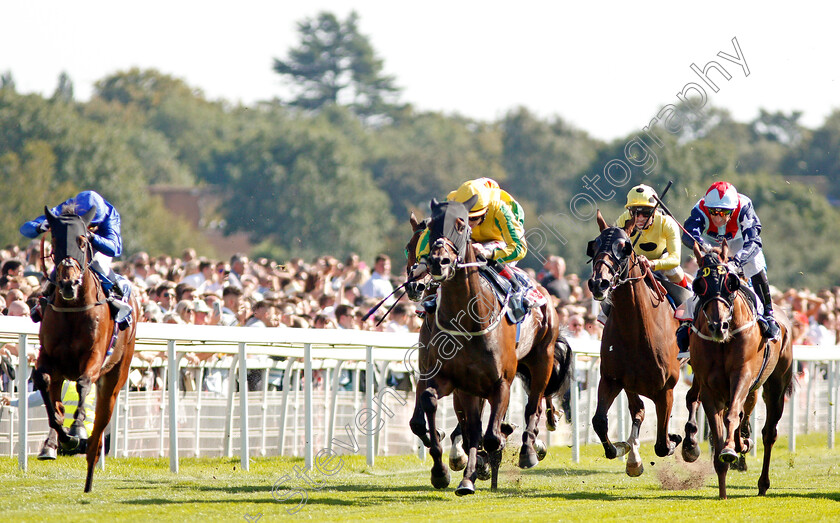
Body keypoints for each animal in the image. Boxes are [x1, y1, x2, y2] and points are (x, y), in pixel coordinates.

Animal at [32, 207, 138, 494]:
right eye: (55, 240)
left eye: (82, 240)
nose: (68, 283)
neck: (72, 310)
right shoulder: (48, 356)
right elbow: (44, 384)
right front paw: (62, 436)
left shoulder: (94, 357)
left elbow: (82, 383)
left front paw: (78, 429)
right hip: (62, 373)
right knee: (56, 398)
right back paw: (53, 444)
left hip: (115, 377)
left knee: (100, 428)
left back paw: (90, 472)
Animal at [406, 196, 564, 496]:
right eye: (411, 247)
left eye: (461, 225)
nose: (418, 283)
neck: (467, 319)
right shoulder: (444, 377)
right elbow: (430, 412)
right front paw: (445, 471)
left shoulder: (501, 382)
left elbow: (489, 436)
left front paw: (487, 459)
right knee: (473, 428)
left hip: (542, 359)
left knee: (534, 406)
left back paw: (528, 450)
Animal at [584, 211, 684, 476]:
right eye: (594, 246)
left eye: (624, 247)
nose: (599, 283)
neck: (635, 332)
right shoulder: (612, 379)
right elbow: (599, 421)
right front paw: (622, 449)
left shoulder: (666, 389)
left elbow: (662, 444)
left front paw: (674, 440)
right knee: (637, 409)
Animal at [680, 242, 792, 500]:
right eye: (699, 285)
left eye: (729, 283)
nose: (717, 326)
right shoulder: (709, 387)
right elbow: (717, 429)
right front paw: (722, 486)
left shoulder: (742, 376)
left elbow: (732, 416)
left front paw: (732, 449)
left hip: (775, 386)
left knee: (769, 432)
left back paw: (762, 482)